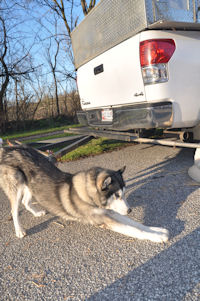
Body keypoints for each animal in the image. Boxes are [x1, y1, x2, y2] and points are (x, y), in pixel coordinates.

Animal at [0, 145, 169, 241]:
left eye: (124, 193)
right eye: (116, 195)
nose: (130, 210)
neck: (88, 195)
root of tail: (7, 150)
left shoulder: (109, 212)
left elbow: (136, 224)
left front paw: (157, 230)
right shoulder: (104, 219)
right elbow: (133, 229)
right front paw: (157, 237)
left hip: (30, 185)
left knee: (25, 201)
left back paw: (36, 213)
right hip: (17, 184)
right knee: (14, 209)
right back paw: (19, 230)